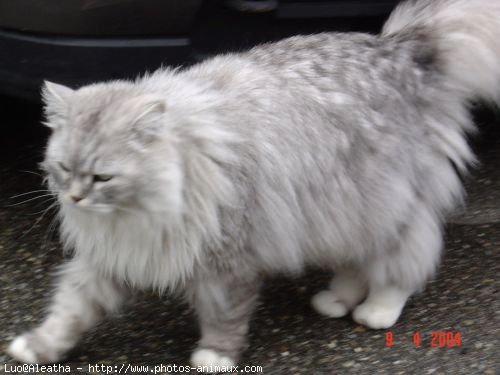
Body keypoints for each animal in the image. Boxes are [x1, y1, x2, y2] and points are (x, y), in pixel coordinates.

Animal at [6, 0, 500, 370]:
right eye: (63, 168)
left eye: (102, 177)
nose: (74, 197)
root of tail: (399, 47)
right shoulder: (113, 256)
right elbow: (69, 312)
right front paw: (35, 348)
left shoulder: (229, 262)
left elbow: (225, 317)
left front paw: (214, 357)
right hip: (345, 208)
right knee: (357, 264)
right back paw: (336, 300)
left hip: (385, 204)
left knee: (403, 262)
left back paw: (377, 310)